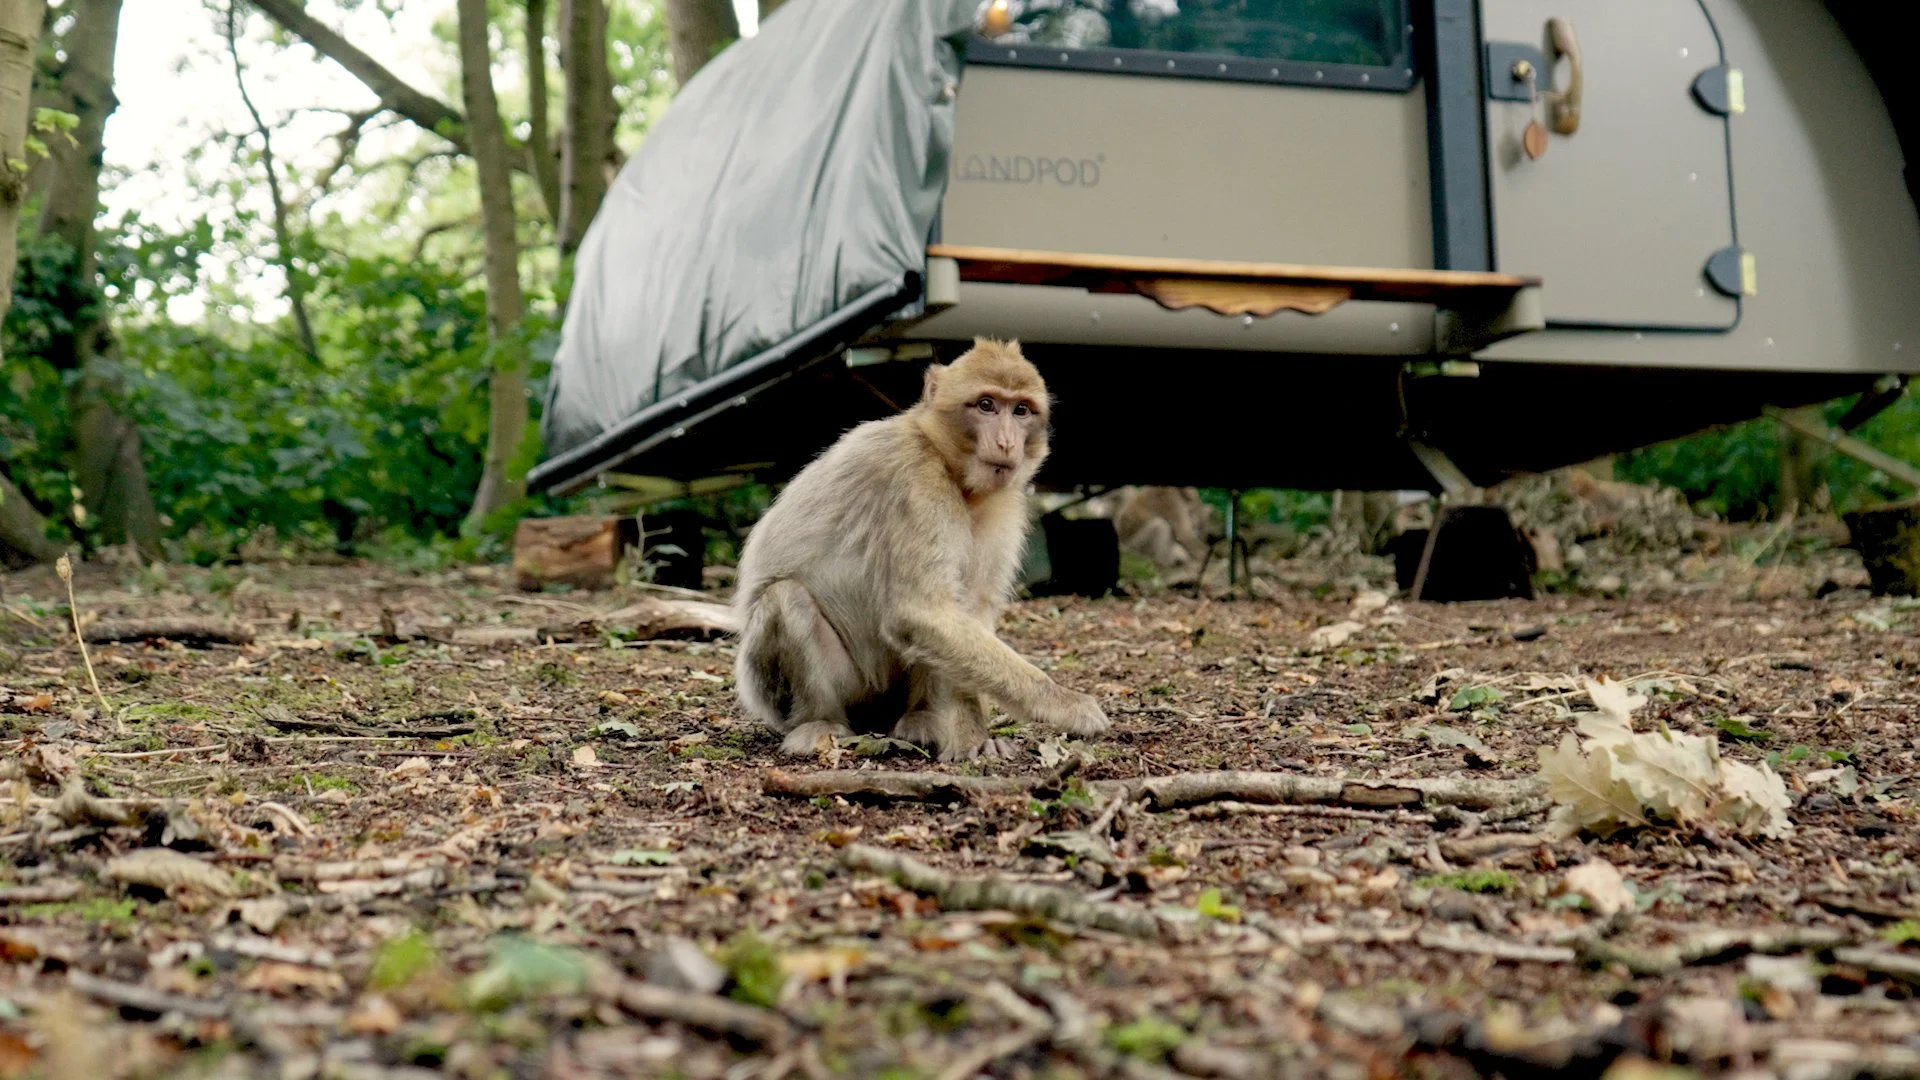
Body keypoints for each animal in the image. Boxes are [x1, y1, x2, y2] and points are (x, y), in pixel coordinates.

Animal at [730, 338, 1110, 761]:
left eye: (1021, 410)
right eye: (986, 405)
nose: (1007, 442)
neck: (951, 468)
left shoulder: (1004, 502)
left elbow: (962, 612)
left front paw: (976, 738)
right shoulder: (915, 479)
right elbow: (919, 611)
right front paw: (1063, 703)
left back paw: (922, 720)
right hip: (807, 693)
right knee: (786, 597)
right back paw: (819, 725)